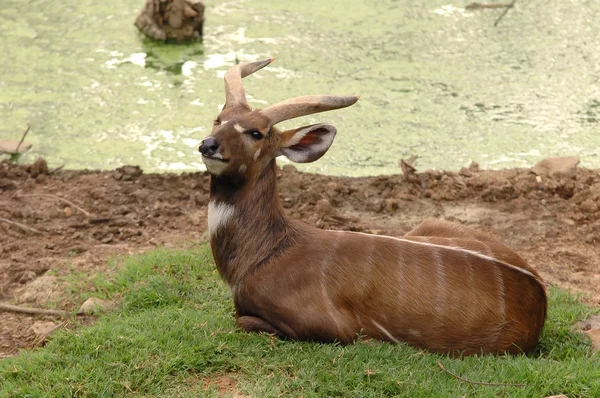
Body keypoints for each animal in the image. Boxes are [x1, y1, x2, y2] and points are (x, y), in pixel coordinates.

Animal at [199, 58, 548, 354]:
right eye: (219, 120)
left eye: (255, 133)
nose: (208, 144)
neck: (264, 255)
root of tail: (541, 297)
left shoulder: (333, 328)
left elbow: (243, 320)